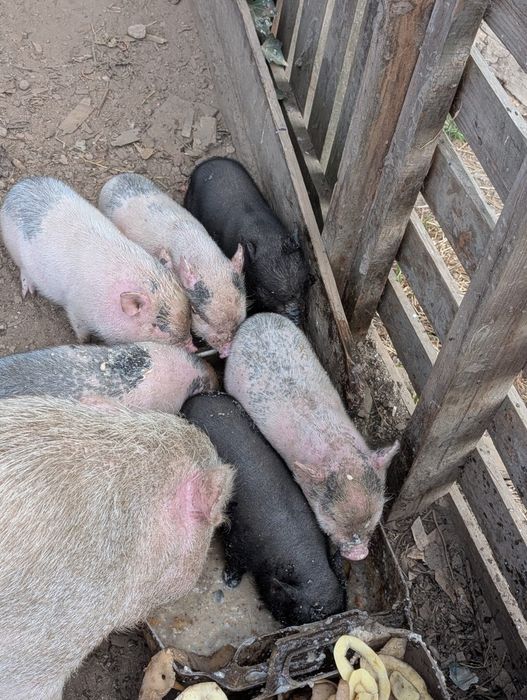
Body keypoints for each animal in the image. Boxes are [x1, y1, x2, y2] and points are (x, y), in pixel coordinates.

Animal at [0, 176, 193, 349]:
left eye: (190, 313)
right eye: (159, 327)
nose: (192, 346)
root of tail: (17, 188)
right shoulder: (76, 310)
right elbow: (81, 333)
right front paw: (85, 342)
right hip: (12, 247)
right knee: (23, 271)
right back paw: (28, 293)